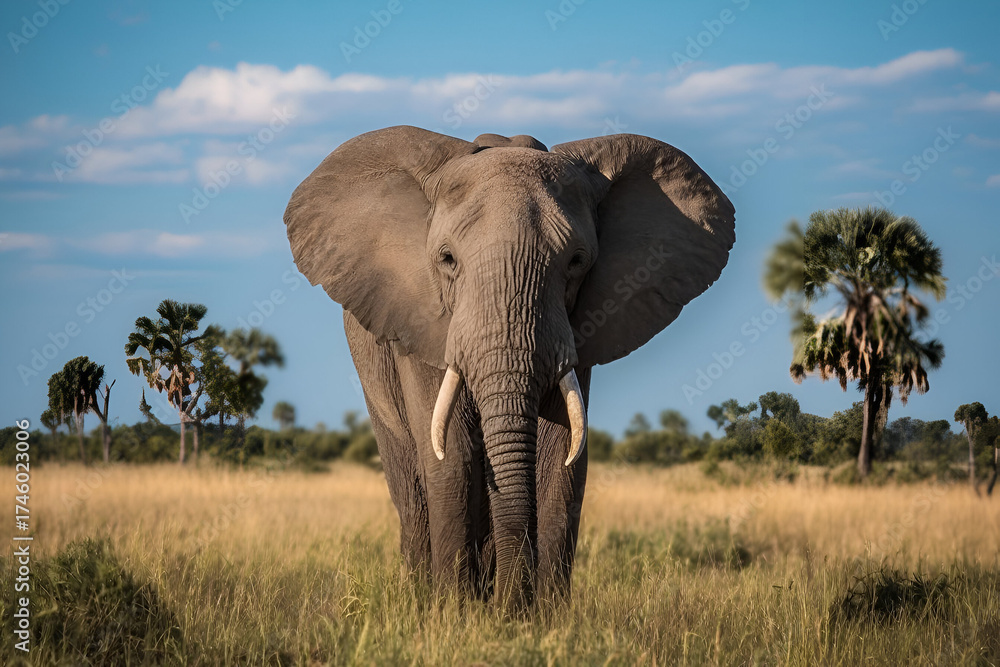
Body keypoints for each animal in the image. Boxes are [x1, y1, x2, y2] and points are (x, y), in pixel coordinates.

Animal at [284, 126, 734, 612]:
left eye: (577, 262)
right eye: (447, 259)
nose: (509, 606)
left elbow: (561, 455)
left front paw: (542, 618)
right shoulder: (421, 321)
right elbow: (452, 453)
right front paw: (453, 614)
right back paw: (425, 595)